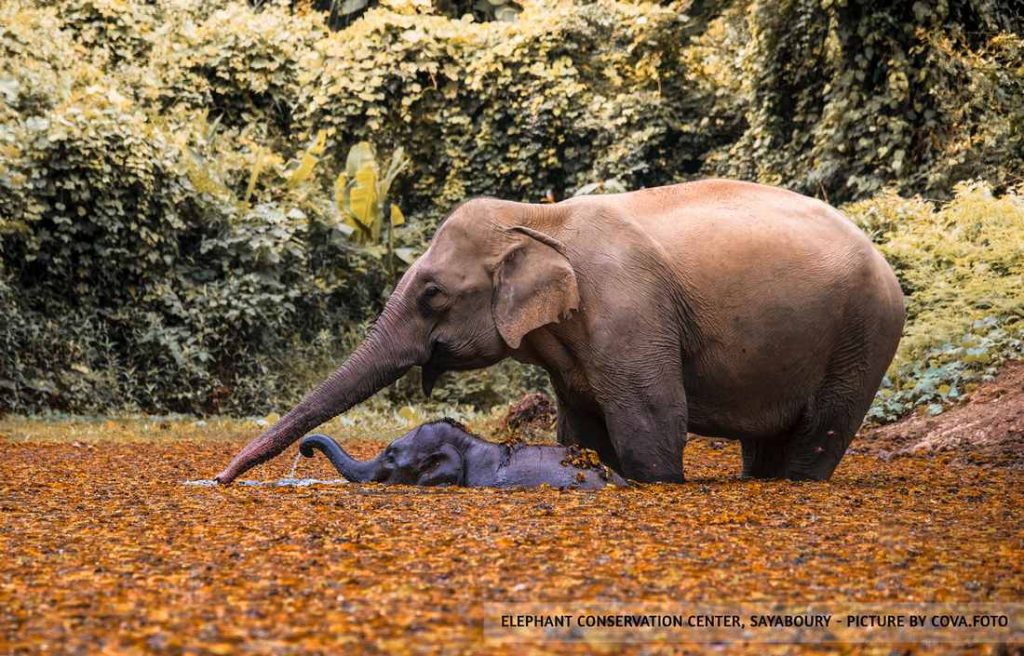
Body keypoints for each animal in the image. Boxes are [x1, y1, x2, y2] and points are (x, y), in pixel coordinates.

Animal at [216, 179, 905, 484]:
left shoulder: (630, 312)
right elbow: (580, 427)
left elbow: (654, 420)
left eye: (433, 295)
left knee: (820, 435)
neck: (539, 218)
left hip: (863, 338)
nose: (222, 479)